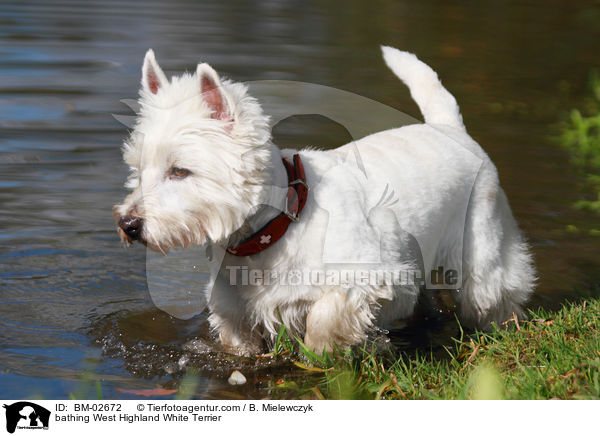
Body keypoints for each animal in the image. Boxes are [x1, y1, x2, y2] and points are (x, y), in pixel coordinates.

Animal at [115, 46, 536, 354]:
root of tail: (449, 129)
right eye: (137, 170)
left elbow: (323, 317)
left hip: (483, 250)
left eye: (179, 171)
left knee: (495, 296)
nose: (128, 225)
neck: (274, 229)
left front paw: (321, 353)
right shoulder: (236, 315)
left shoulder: (365, 275)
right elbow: (239, 346)